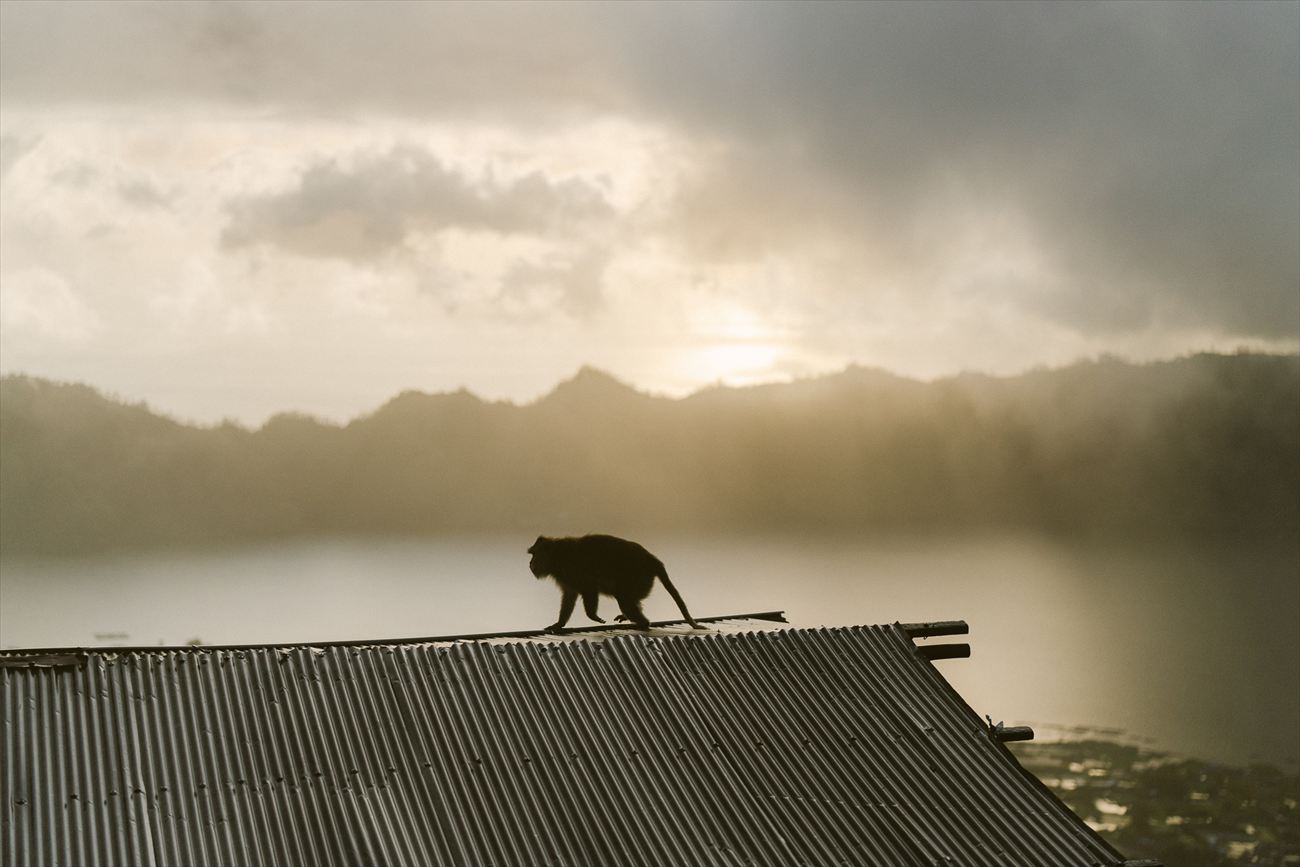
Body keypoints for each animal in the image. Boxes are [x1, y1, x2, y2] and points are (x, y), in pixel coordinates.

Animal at [527, 534, 704, 632]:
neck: (556, 556)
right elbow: (570, 596)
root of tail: (653, 560)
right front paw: (559, 624)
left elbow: (589, 587)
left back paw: (642, 623)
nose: (530, 563)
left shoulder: (570, 568)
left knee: (623, 598)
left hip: (639, 577)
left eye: (534, 554)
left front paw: (593, 616)